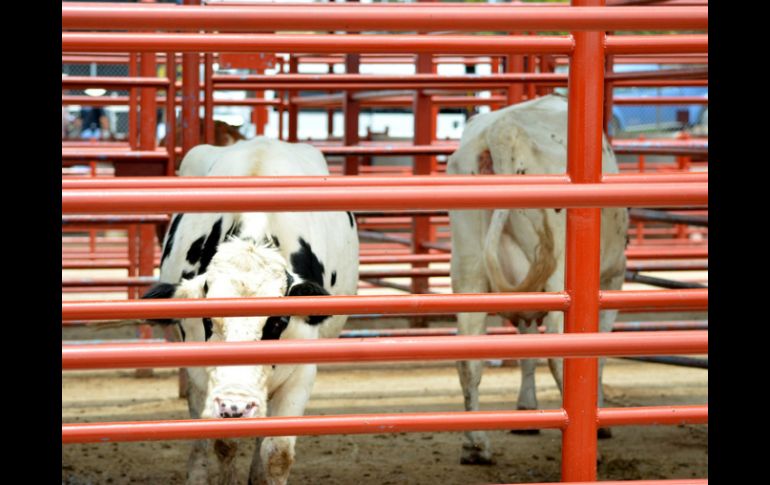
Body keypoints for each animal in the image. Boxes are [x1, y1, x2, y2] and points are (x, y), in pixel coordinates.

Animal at [144, 136, 360, 484]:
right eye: (209, 319)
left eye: (278, 322)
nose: (237, 405)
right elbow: (224, 443)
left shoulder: (301, 372)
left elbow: (277, 453)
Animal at [448, 92, 628, 464]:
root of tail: (504, 131)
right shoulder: (613, 278)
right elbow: (600, 356)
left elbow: (527, 349)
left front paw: (526, 411)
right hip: (561, 281)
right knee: (561, 357)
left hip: (469, 272)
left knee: (468, 360)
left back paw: (476, 444)